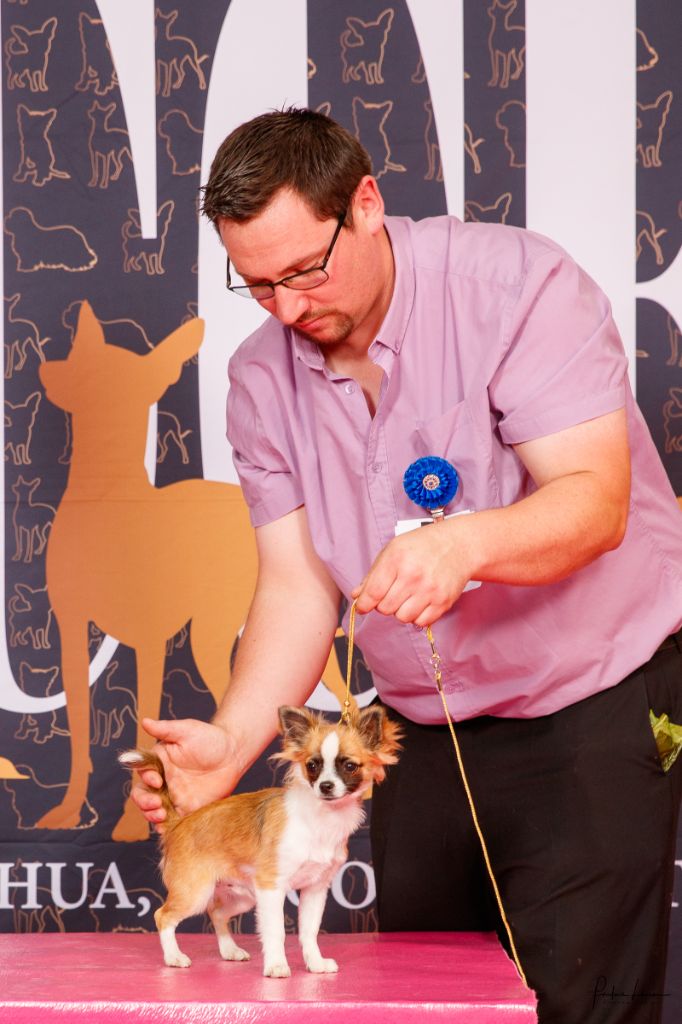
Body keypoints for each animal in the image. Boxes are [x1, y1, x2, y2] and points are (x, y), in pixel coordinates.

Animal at [119, 704, 401, 975]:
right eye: (313, 766)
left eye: (349, 766)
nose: (326, 786)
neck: (322, 817)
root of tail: (178, 823)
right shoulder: (271, 887)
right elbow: (276, 931)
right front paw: (276, 966)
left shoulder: (314, 889)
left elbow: (309, 932)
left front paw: (315, 963)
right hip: (196, 892)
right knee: (163, 916)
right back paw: (174, 957)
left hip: (242, 896)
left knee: (216, 912)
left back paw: (230, 951)